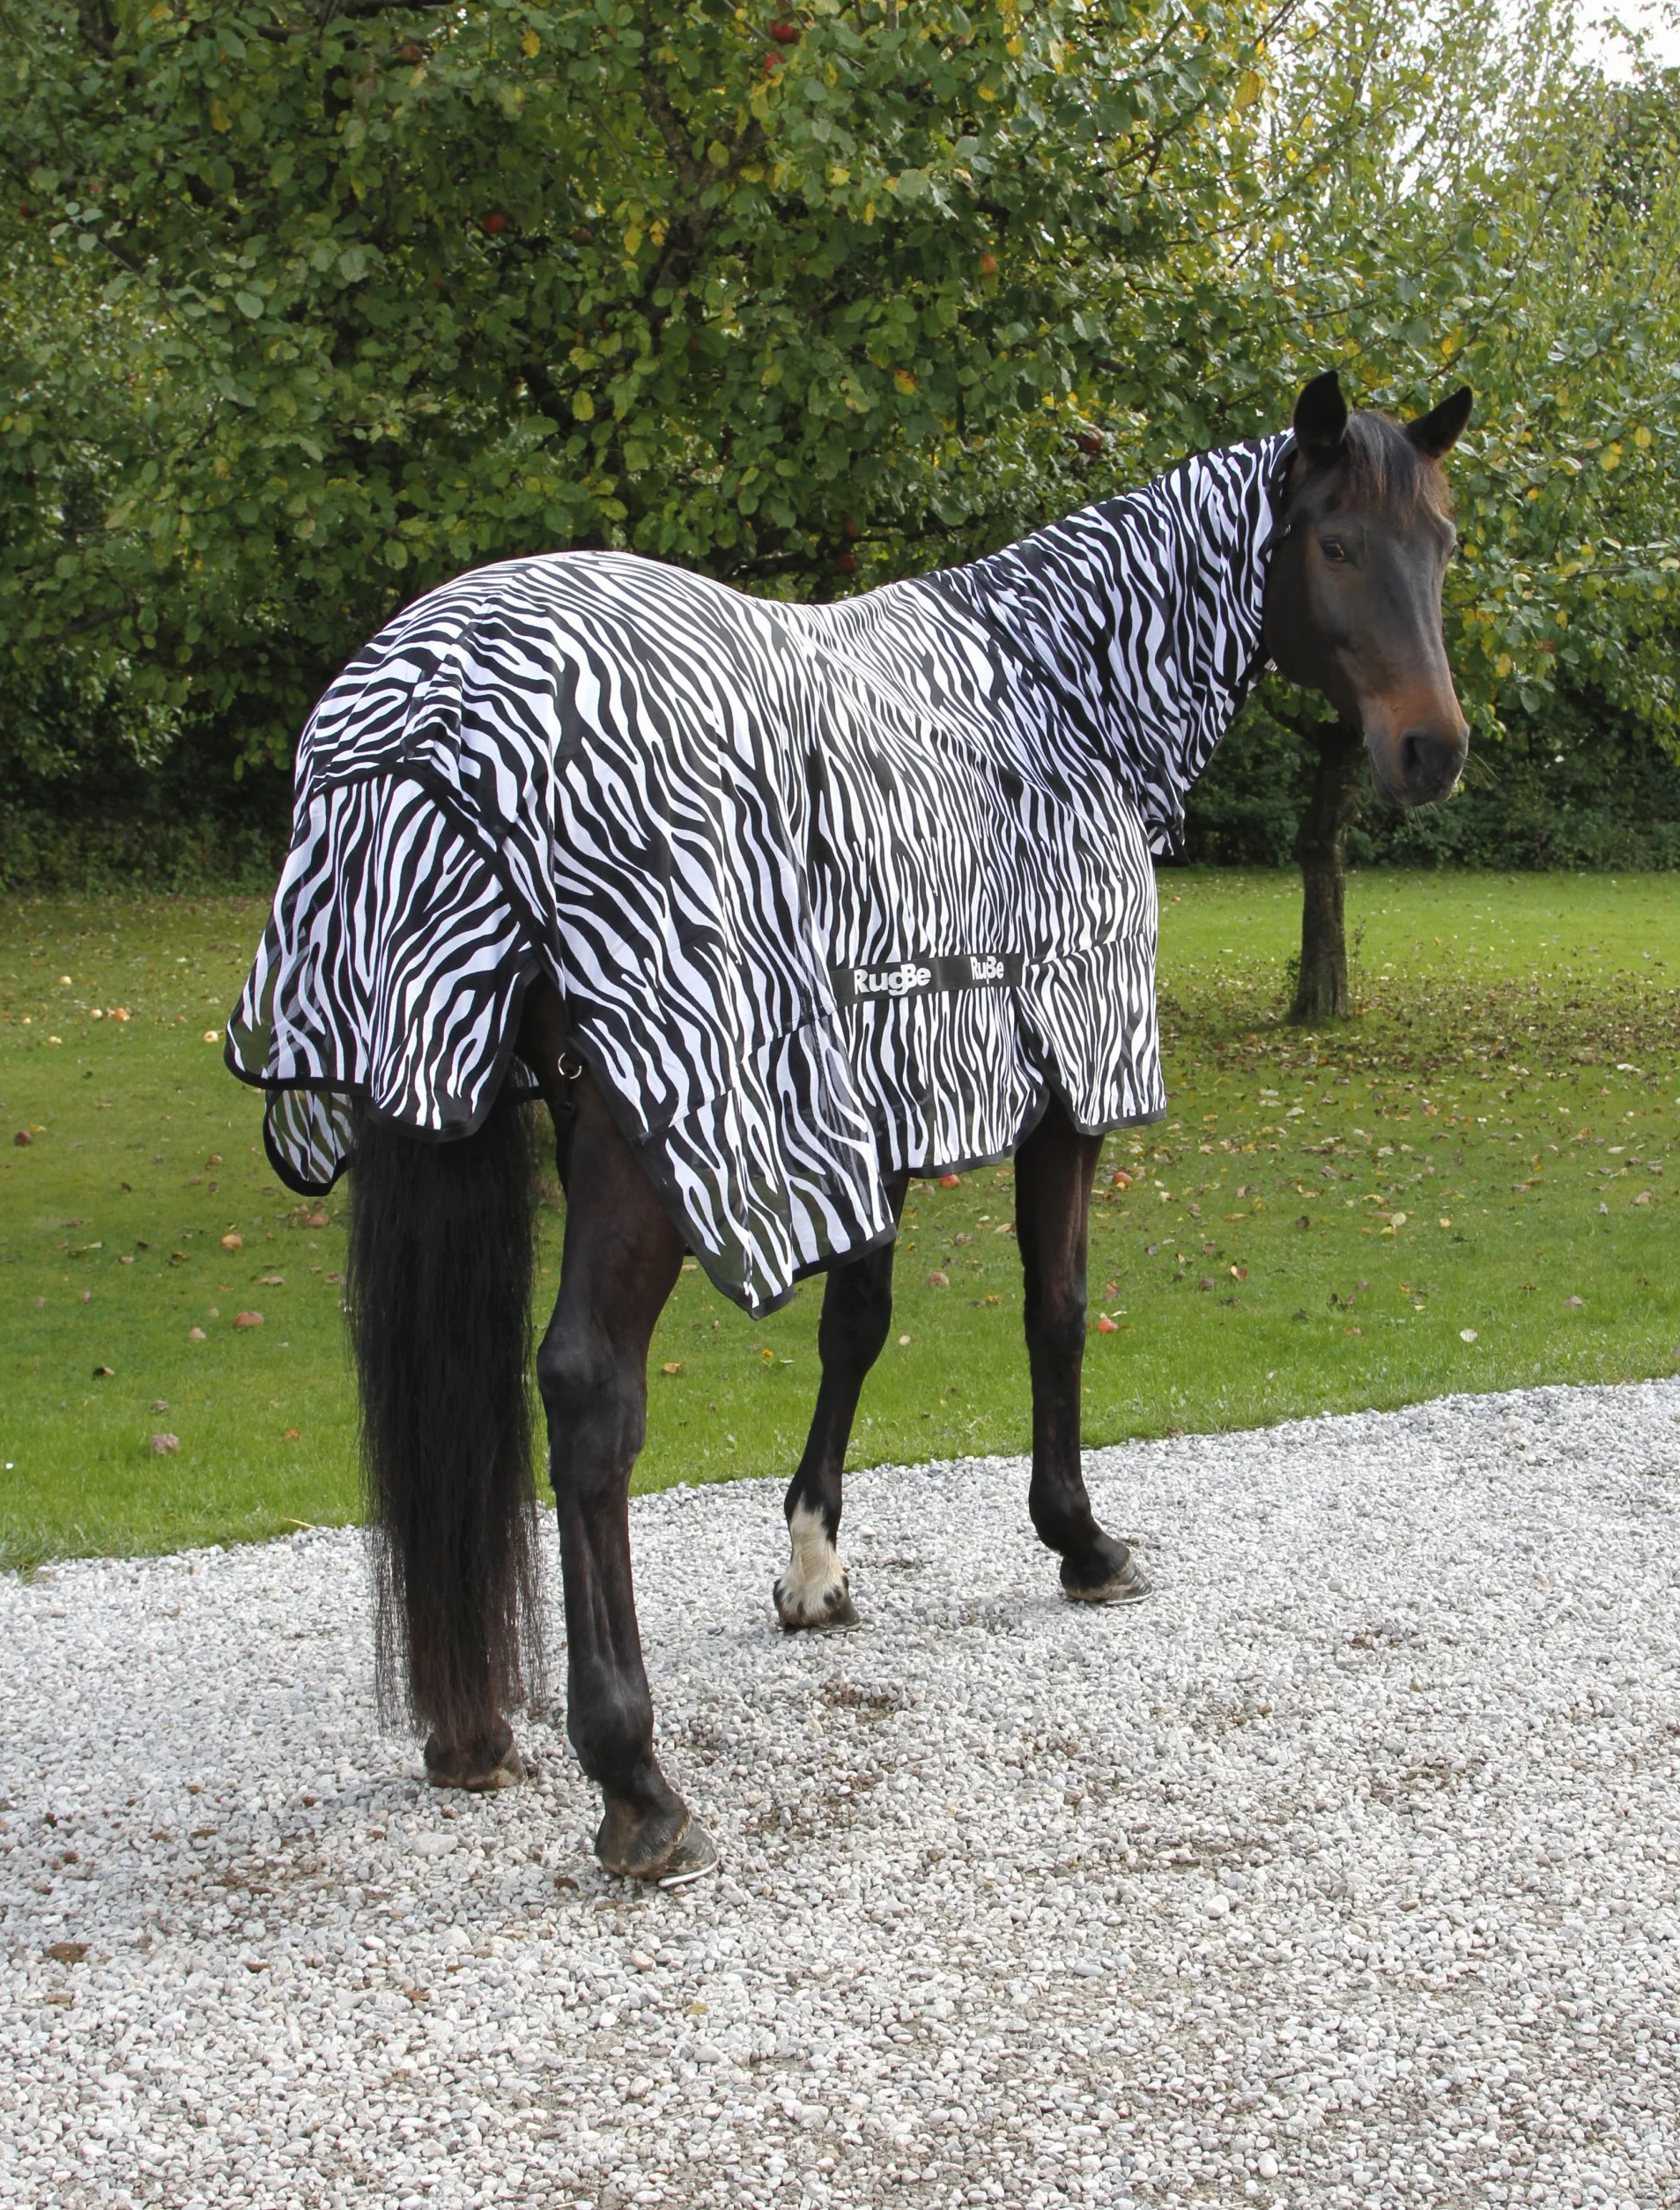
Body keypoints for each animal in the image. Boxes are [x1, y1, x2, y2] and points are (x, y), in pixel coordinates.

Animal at [230, 369, 1473, 1886]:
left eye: (1440, 541)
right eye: (1336, 545)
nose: (1429, 750)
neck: (1050, 695)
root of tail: (424, 711)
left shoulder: (868, 1099)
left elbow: (856, 1320)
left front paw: (812, 1564)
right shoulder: (1062, 1083)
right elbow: (1054, 1309)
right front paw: (1078, 1540)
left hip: (441, 1084)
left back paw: (471, 1730)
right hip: (646, 1131)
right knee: (586, 1394)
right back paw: (633, 1776)